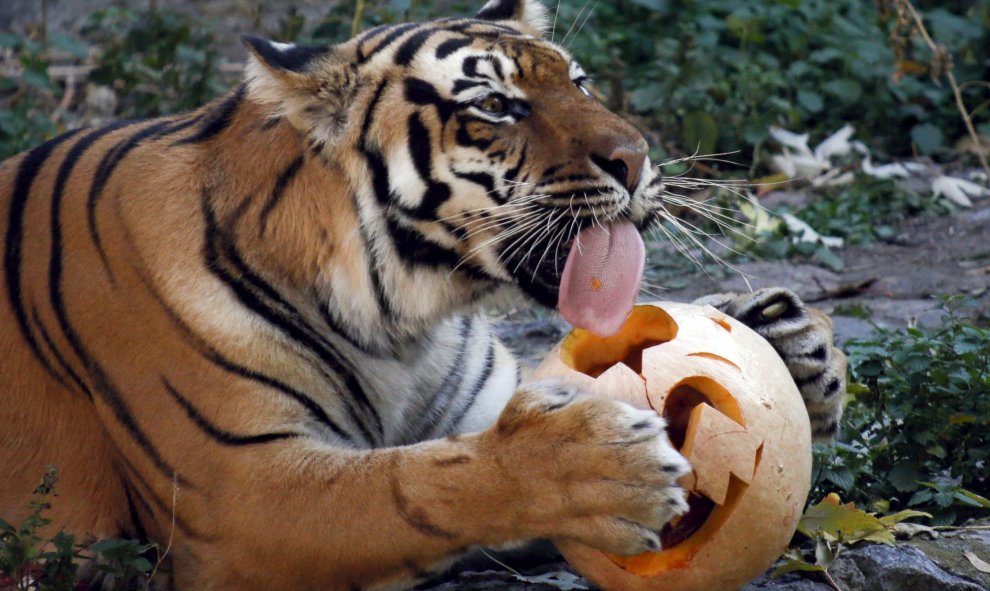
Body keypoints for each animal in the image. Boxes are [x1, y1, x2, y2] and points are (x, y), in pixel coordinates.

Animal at [1, 2, 844, 588]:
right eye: (496, 105)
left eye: (578, 82)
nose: (637, 159)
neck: (402, 324)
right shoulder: (236, 493)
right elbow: (415, 482)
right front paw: (600, 470)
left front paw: (793, 346)